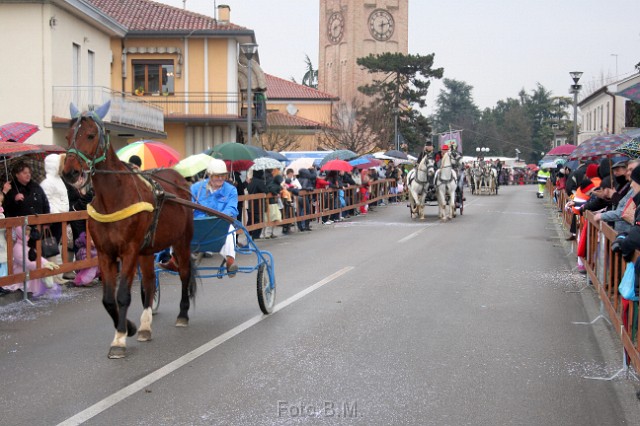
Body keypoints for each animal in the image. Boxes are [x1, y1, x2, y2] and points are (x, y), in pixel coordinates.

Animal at [62, 101, 195, 358]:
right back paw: (144, 326)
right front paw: (129, 328)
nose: (70, 172)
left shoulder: (130, 250)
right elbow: (108, 299)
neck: (113, 198)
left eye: (91, 135)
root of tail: (180, 179)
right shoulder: (105, 253)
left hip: (181, 240)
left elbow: (123, 295)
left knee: (185, 272)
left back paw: (183, 315)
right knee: (150, 281)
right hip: (148, 249)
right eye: (67, 136)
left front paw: (120, 339)